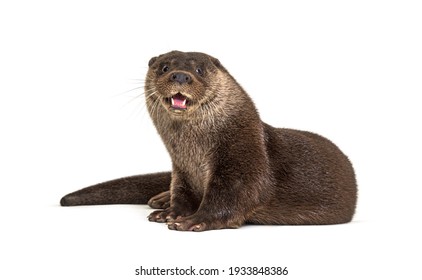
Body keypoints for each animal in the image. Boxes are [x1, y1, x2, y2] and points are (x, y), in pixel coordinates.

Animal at [59, 50, 356, 232]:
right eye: (164, 67)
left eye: (199, 70)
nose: (180, 75)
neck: (195, 152)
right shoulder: (181, 170)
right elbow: (182, 193)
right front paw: (171, 212)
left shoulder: (242, 164)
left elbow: (231, 199)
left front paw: (194, 221)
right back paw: (160, 200)